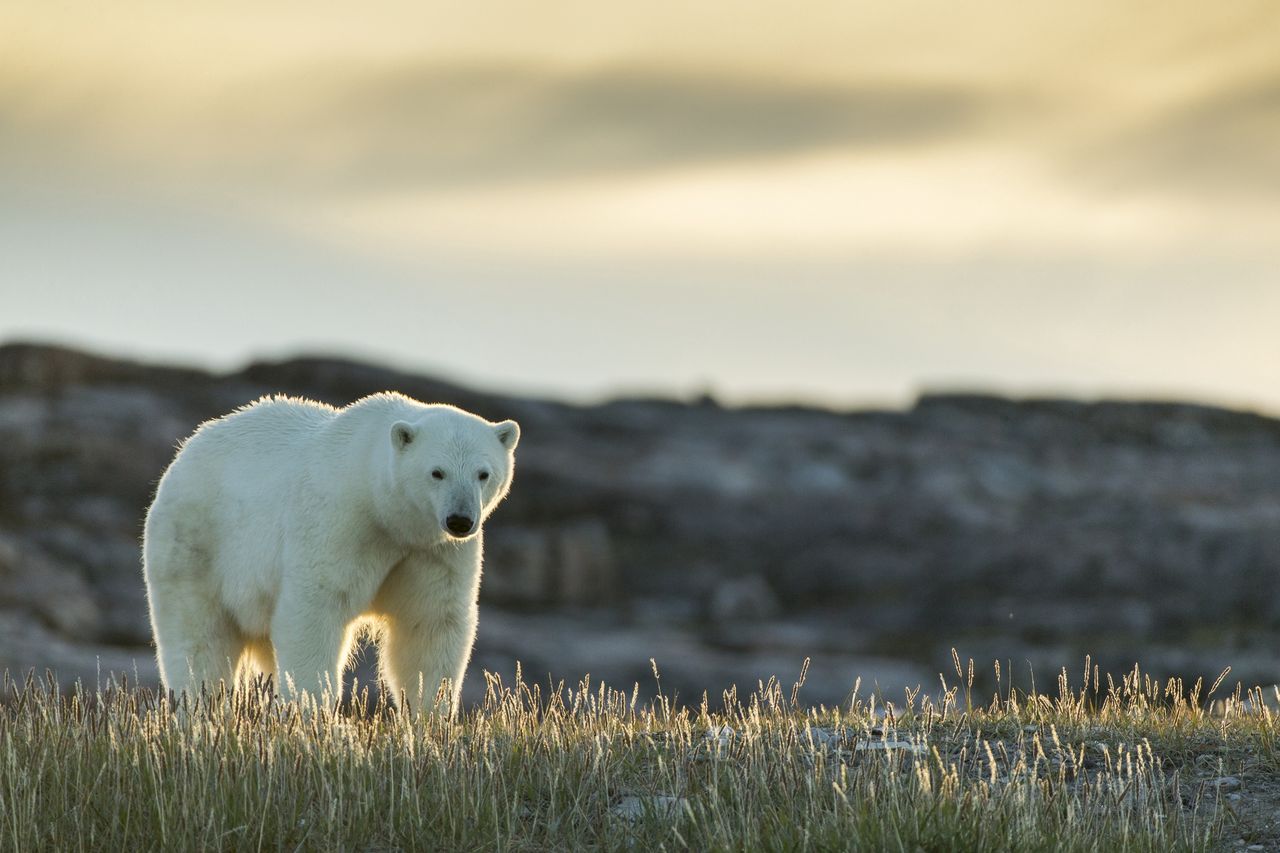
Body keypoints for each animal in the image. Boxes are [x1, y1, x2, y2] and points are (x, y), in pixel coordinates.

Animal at [141, 391, 519, 712]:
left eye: (483, 474)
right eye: (437, 472)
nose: (460, 520)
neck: (384, 511)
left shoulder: (432, 552)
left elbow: (430, 624)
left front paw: (431, 715)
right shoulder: (339, 522)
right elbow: (314, 610)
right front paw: (312, 712)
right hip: (196, 544)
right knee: (199, 643)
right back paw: (199, 710)